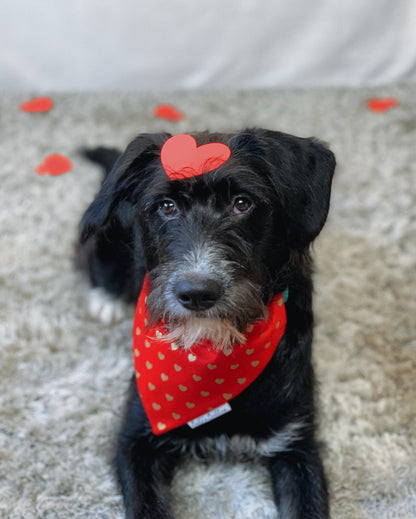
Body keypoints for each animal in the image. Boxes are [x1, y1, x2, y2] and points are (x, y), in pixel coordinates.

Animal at [79, 130, 334, 519]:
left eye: (242, 203)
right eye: (166, 206)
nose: (197, 293)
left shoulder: (297, 443)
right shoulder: (137, 438)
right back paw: (105, 300)